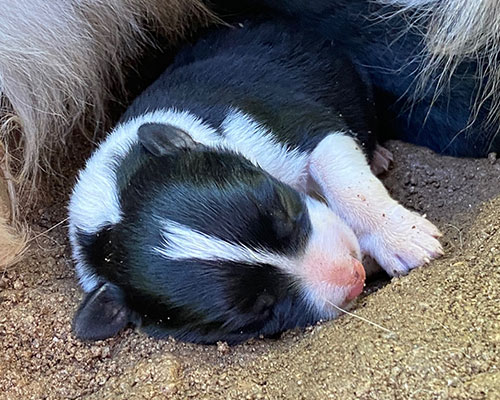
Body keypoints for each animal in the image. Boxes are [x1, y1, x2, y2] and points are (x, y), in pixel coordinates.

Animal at [67, 18, 442, 344]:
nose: (354, 275)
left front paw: (404, 239)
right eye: (261, 311)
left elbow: (349, 183)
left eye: (285, 209)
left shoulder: (301, 132)